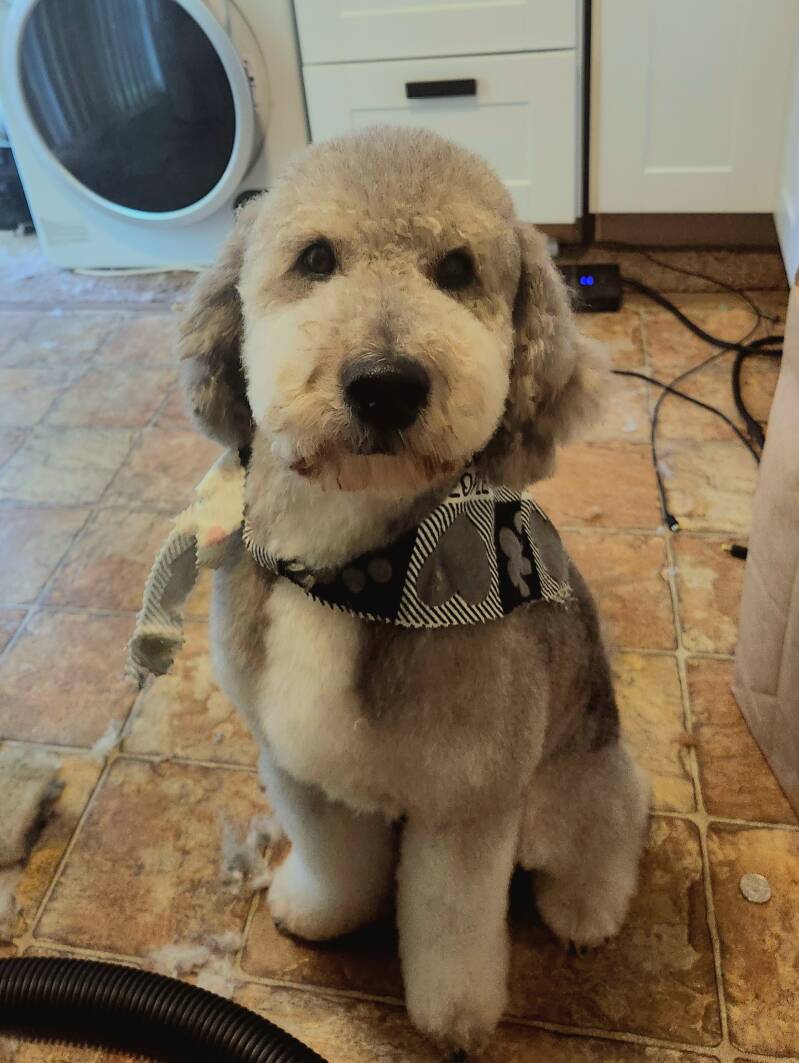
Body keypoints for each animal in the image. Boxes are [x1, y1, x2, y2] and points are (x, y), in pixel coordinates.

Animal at [178, 127, 649, 1056]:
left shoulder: (467, 803)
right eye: (316, 258)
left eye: (457, 269)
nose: (385, 383)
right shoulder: (298, 763)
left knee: (607, 841)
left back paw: (585, 912)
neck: (349, 574)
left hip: (576, 786)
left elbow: (450, 921)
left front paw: (454, 1019)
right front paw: (319, 912)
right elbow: (336, 860)